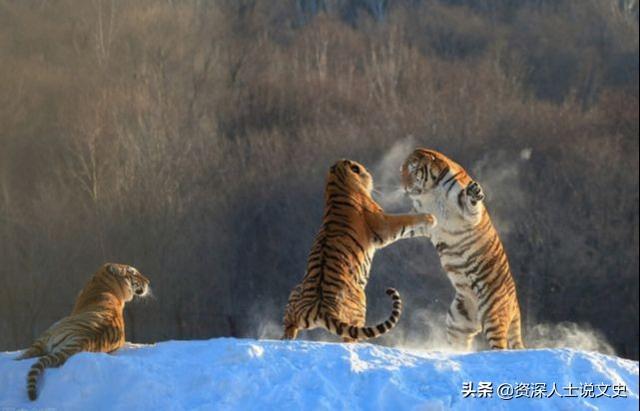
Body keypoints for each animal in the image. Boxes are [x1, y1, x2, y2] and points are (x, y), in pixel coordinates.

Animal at [15, 262, 151, 400]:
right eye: (134, 273)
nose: (148, 281)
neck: (105, 281)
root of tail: (82, 340)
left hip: (51, 330)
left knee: (28, 354)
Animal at [282, 159, 438, 342]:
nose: (370, 173)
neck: (336, 182)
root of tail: (322, 308)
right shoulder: (383, 223)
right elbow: (405, 220)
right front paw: (430, 218)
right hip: (360, 302)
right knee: (351, 336)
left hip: (294, 295)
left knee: (289, 325)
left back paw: (286, 338)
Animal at [400, 148, 524, 350]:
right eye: (401, 171)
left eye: (412, 169)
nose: (403, 186)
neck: (430, 191)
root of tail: (516, 305)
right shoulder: (423, 218)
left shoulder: (468, 213)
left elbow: (472, 205)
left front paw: (475, 192)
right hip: (458, 320)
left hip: (493, 315)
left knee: (501, 346)